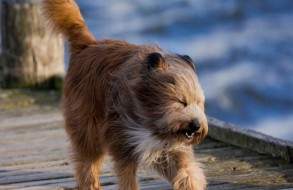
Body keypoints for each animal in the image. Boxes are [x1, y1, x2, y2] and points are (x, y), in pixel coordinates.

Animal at [42, 0, 208, 189]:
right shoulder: (124, 142)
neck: (151, 118)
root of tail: (89, 44)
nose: (196, 125)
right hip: (87, 127)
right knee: (86, 162)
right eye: (181, 102)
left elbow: (186, 169)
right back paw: (90, 184)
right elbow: (127, 178)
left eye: (199, 103)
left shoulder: (168, 147)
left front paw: (190, 182)